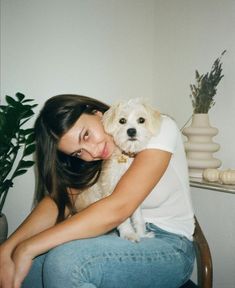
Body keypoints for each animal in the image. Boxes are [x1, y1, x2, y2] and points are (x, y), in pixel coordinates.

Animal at [75, 98, 162, 242]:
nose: (131, 131)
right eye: (122, 120)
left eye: (141, 120)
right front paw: (129, 234)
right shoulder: (112, 192)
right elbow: (123, 219)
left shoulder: (132, 194)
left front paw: (142, 234)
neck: (125, 157)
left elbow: (137, 218)